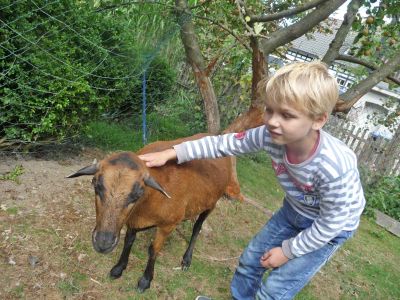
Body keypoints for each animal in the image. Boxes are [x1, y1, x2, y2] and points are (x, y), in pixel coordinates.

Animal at [65, 134, 234, 292]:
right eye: (96, 185)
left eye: (137, 194)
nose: (103, 244)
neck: (146, 203)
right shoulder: (133, 220)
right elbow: (128, 242)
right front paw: (119, 268)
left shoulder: (168, 225)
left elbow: (153, 250)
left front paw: (145, 281)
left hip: (212, 204)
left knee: (197, 228)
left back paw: (187, 259)